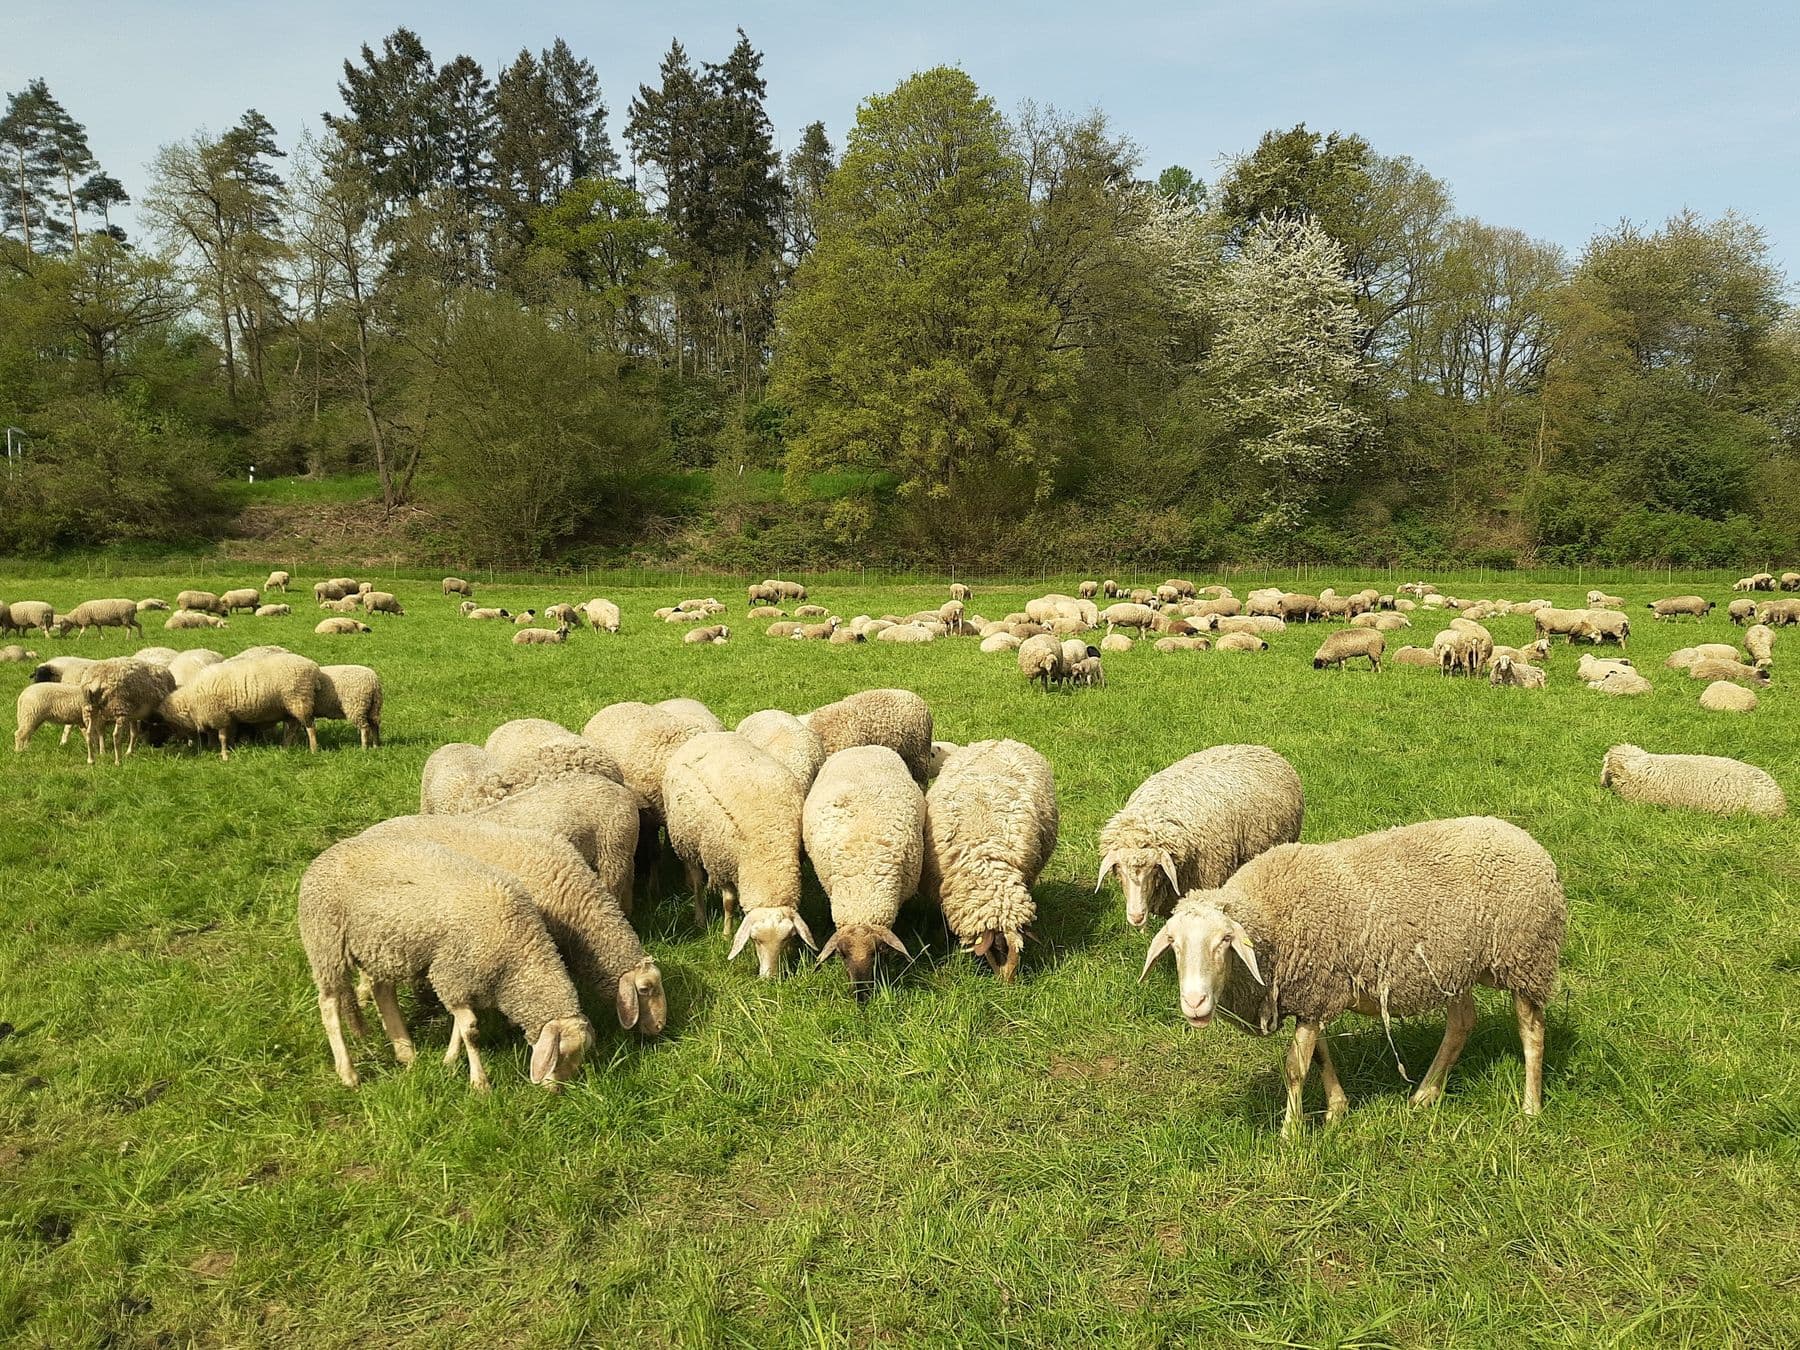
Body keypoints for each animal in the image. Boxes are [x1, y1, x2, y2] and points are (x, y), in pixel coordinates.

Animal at [159, 651, 321, 761]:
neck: (191, 697)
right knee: (292, 728)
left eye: (169, 724)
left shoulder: (220, 716)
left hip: (300, 700)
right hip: (289, 707)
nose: (170, 742)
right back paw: (285, 747)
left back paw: (313, 749)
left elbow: (222, 737)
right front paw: (224, 749)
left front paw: (224, 755)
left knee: (310, 727)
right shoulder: (224, 717)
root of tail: (313, 666)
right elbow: (224, 735)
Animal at [298, 834, 592, 1091]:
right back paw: (348, 1073)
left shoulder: (459, 979)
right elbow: (470, 1030)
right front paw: (479, 1083)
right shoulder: (449, 972)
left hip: (380, 947)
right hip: (326, 942)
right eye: (562, 1054)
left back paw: (405, 1052)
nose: (556, 1092)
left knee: (383, 992)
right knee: (329, 1004)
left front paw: (449, 1060)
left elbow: (459, 1027)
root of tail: (323, 857)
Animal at [663, 732, 814, 975]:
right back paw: (700, 917)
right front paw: (726, 934)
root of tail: (704, 736)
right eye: (755, 940)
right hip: (687, 842)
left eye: (786, 938)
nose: (770, 978)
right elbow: (729, 902)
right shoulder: (723, 863)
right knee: (696, 881)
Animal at [1140, 816, 1565, 1134]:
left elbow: (1295, 1068)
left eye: (1225, 941)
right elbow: (1319, 1057)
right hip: (1453, 965)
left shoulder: (1314, 990)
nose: (1194, 1002)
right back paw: (1425, 1094)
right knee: (1461, 1024)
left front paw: (1290, 1133)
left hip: (1526, 955)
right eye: (1173, 943)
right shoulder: (1315, 994)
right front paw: (1336, 1109)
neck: (1270, 916)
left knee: (1531, 1031)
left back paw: (1530, 1106)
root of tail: (1528, 841)